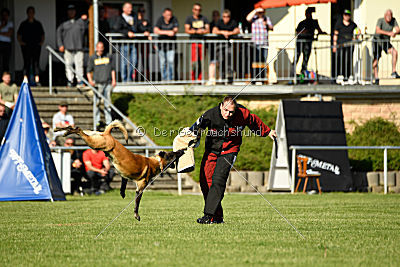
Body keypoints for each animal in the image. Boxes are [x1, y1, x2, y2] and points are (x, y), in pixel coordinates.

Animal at [54, 121, 183, 222]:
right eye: (172, 154)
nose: (181, 150)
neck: (156, 162)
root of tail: (107, 133)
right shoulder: (140, 188)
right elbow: (137, 204)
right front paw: (137, 216)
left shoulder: (124, 176)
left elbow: (123, 185)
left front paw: (122, 193)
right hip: (95, 144)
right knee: (79, 130)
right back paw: (65, 131)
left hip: (93, 136)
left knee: (77, 128)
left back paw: (61, 129)